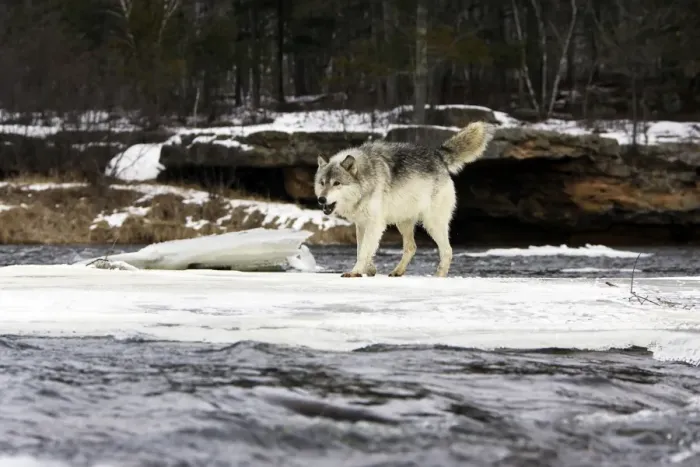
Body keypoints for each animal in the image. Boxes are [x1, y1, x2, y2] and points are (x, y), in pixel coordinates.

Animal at [315, 121, 495, 278]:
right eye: (322, 183)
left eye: (337, 183)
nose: (321, 199)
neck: (366, 179)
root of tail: (438, 155)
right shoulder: (361, 224)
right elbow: (361, 249)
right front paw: (370, 269)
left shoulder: (375, 223)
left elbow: (364, 251)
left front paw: (355, 272)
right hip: (403, 222)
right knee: (412, 247)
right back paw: (397, 271)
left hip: (432, 223)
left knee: (447, 251)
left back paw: (438, 277)